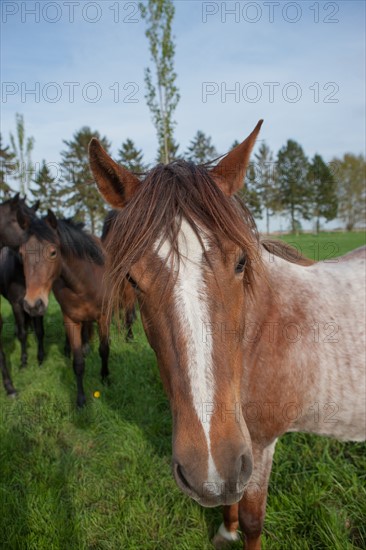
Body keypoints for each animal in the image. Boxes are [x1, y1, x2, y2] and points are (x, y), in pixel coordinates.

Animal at [88, 122, 366, 550]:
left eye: (241, 262)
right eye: (132, 279)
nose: (208, 469)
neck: (266, 333)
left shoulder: (258, 445)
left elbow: (253, 519)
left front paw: (238, 527)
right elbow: (231, 502)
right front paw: (225, 528)